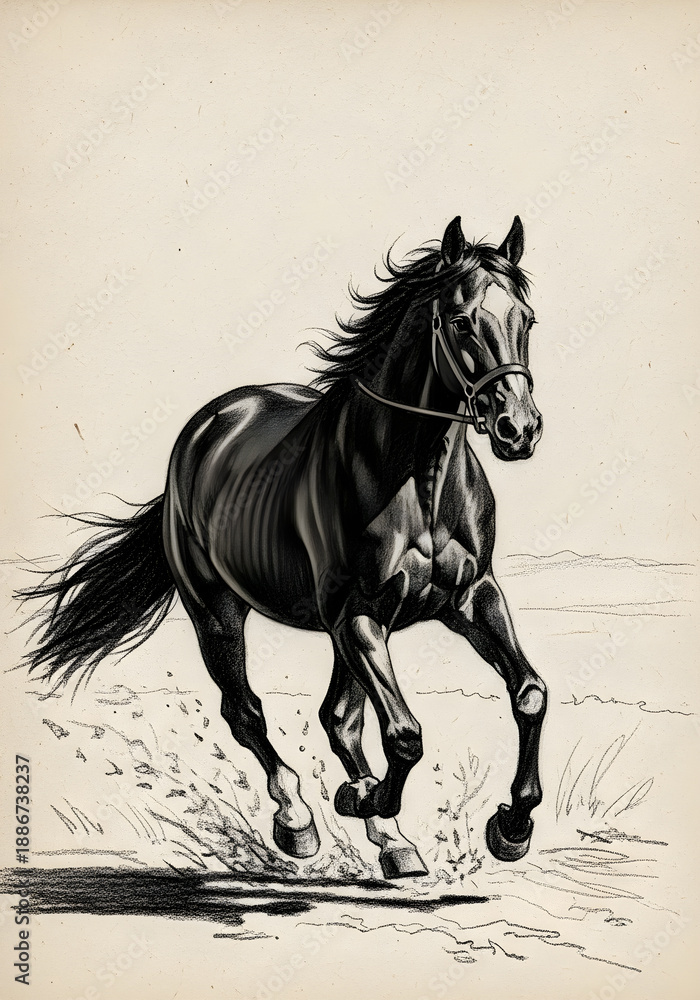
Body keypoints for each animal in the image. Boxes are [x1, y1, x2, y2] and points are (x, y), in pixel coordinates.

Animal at [19, 215, 546, 879]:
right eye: (459, 321)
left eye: (526, 319)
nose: (518, 430)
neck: (416, 482)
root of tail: (203, 430)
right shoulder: (357, 614)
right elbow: (404, 735)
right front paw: (361, 798)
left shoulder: (470, 600)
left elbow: (528, 695)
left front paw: (512, 827)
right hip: (218, 614)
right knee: (248, 714)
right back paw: (299, 820)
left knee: (339, 719)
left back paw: (389, 839)